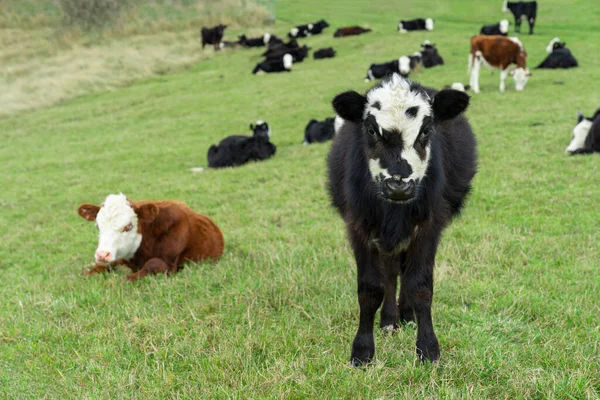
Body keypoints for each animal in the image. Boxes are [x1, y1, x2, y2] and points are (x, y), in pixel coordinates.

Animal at [77, 193, 223, 282]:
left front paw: (122, 279)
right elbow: (102, 265)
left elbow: (153, 263)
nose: (102, 254)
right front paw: (88, 272)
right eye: (98, 226)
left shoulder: (170, 265)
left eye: (128, 226)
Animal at [326, 73, 476, 368]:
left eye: (426, 131)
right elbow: (370, 289)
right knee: (391, 272)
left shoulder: (429, 226)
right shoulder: (359, 226)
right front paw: (362, 351)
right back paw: (388, 320)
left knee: (403, 272)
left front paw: (428, 348)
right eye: (371, 130)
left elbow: (420, 286)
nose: (398, 186)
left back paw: (406, 316)